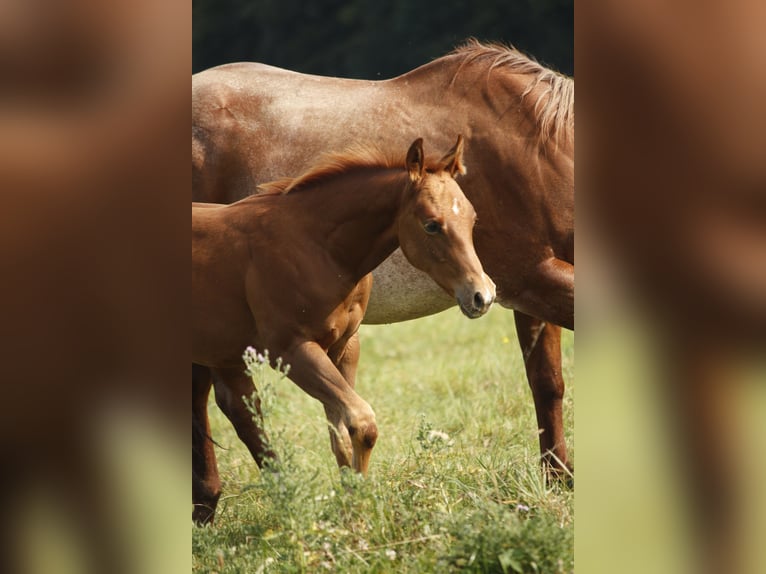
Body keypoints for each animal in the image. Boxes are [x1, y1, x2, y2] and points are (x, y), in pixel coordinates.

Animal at [189, 137, 496, 524]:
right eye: (431, 225)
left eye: (472, 218)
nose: (482, 295)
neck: (318, 247)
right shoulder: (292, 350)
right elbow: (362, 421)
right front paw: (357, 508)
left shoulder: (344, 347)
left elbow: (342, 433)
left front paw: (352, 506)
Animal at [194, 38, 576, 482]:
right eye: (432, 225)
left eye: (472, 218)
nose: (480, 293)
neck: (537, 151)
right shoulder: (533, 278)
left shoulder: (525, 293)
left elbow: (547, 382)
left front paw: (558, 478)